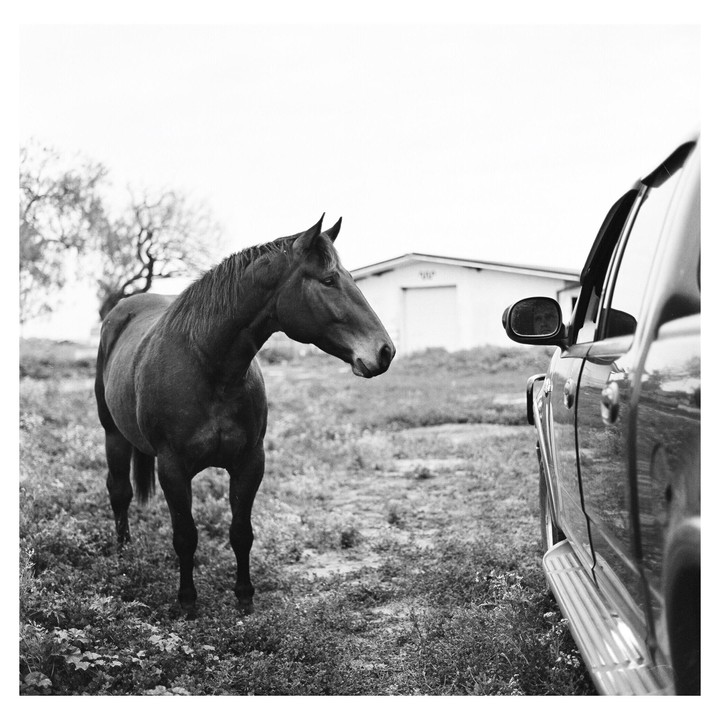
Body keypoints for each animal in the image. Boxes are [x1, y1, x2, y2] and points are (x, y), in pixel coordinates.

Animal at [94, 215, 395, 617]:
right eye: (329, 280)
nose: (385, 351)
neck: (209, 365)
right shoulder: (171, 467)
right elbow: (185, 535)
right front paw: (187, 602)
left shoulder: (250, 462)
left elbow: (241, 531)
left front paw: (244, 596)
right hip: (112, 434)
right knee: (120, 492)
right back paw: (124, 558)